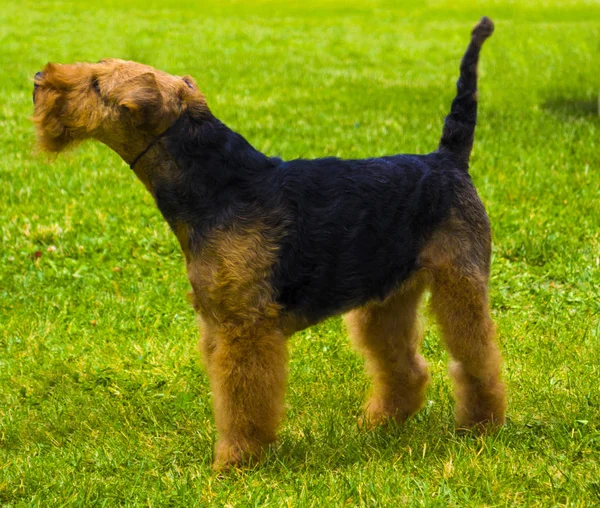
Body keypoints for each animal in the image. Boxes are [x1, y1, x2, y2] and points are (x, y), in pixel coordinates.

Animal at [34, 15, 506, 468]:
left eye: (97, 84)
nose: (39, 77)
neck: (220, 186)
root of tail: (447, 159)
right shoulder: (217, 323)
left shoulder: (245, 327)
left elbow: (243, 400)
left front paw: (235, 460)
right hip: (385, 298)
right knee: (404, 367)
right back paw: (381, 423)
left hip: (458, 283)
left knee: (478, 358)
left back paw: (480, 427)